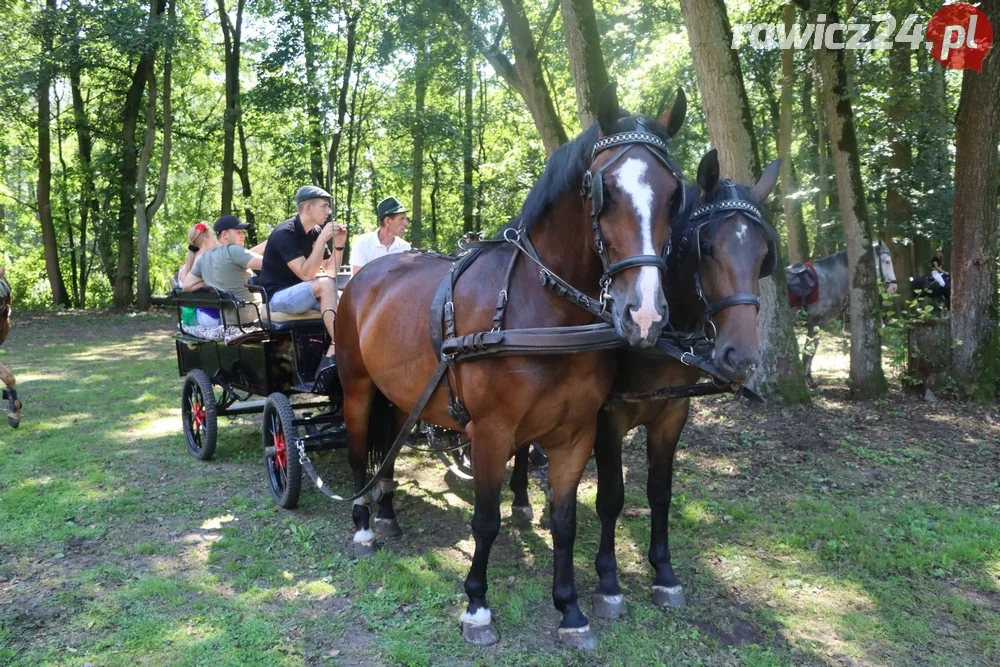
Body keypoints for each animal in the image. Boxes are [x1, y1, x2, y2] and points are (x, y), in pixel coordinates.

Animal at [336, 85, 688, 652]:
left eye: (674, 195)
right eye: (604, 190)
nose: (645, 314)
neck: (541, 312)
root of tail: (366, 274)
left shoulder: (576, 432)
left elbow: (565, 521)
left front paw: (571, 609)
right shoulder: (491, 432)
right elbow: (485, 521)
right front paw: (477, 607)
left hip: (399, 394)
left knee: (387, 449)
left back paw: (386, 513)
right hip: (356, 387)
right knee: (356, 450)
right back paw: (364, 524)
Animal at [512, 153, 784, 620]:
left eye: (764, 255)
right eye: (707, 247)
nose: (742, 358)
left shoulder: (672, 414)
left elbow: (660, 492)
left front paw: (664, 573)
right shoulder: (608, 416)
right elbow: (611, 496)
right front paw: (608, 582)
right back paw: (520, 499)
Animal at [788, 241, 900, 386]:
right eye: (887, 261)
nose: (893, 287)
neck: (830, 279)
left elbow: (810, 351)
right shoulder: (816, 324)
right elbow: (809, 352)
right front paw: (809, 380)